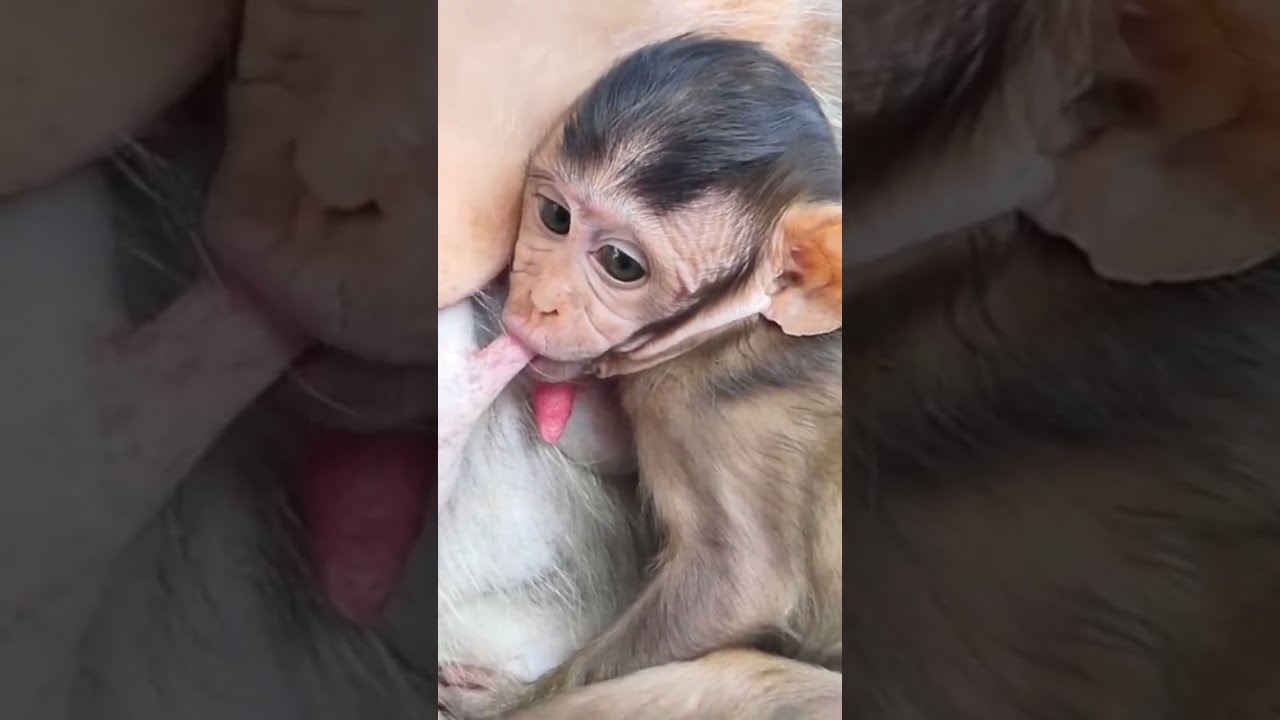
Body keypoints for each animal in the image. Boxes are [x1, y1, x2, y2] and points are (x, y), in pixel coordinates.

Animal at [498, 35, 844, 704]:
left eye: (620, 264)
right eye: (556, 217)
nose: (538, 299)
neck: (735, 328)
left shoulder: (719, 416)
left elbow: (736, 584)